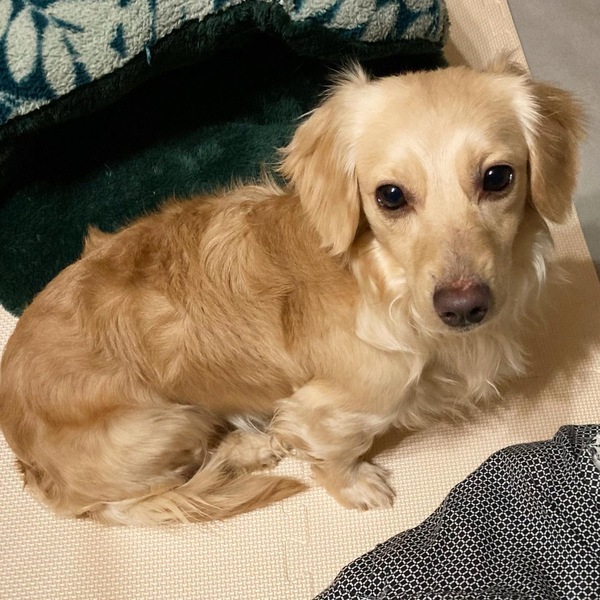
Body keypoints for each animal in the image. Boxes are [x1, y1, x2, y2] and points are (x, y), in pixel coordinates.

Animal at [0, 60, 584, 525]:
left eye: (498, 177)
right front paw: (358, 487)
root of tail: (33, 467)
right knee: (152, 491)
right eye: (391, 196)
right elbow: (337, 455)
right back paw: (251, 447)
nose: (463, 308)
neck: (378, 287)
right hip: (166, 421)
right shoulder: (326, 410)